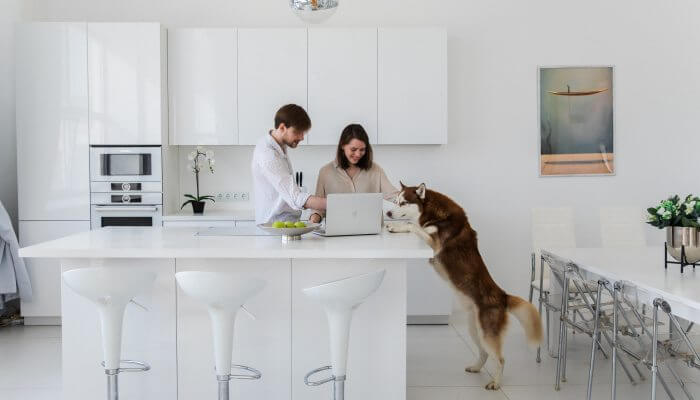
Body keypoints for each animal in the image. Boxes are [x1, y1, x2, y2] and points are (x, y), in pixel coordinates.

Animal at [388, 184, 540, 390]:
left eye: (403, 203)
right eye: (395, 201)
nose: (388, 213)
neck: (436, 215)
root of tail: (503, 295)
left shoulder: (434, 244)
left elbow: (413, 226)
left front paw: (399, 226)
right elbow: (412, 226)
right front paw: (395, 227)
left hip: (487, 333)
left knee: (500, 359)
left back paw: (495, 383)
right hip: (475, 330)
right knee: (484, 353)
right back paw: (476, 368)